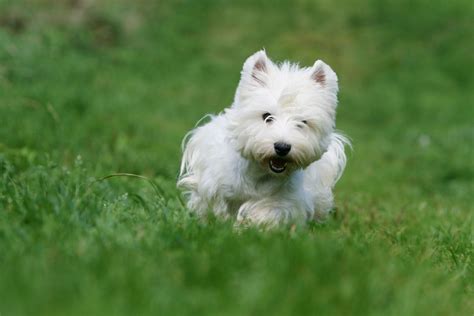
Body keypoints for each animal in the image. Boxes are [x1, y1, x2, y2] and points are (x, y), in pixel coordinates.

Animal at [178, 50, 348, 226]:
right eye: (267, 116)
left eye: (302, 122)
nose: (282, 147)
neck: (260, 172)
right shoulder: (213, 184)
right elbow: (216, 204)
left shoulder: (283, 202)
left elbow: (265, 211)